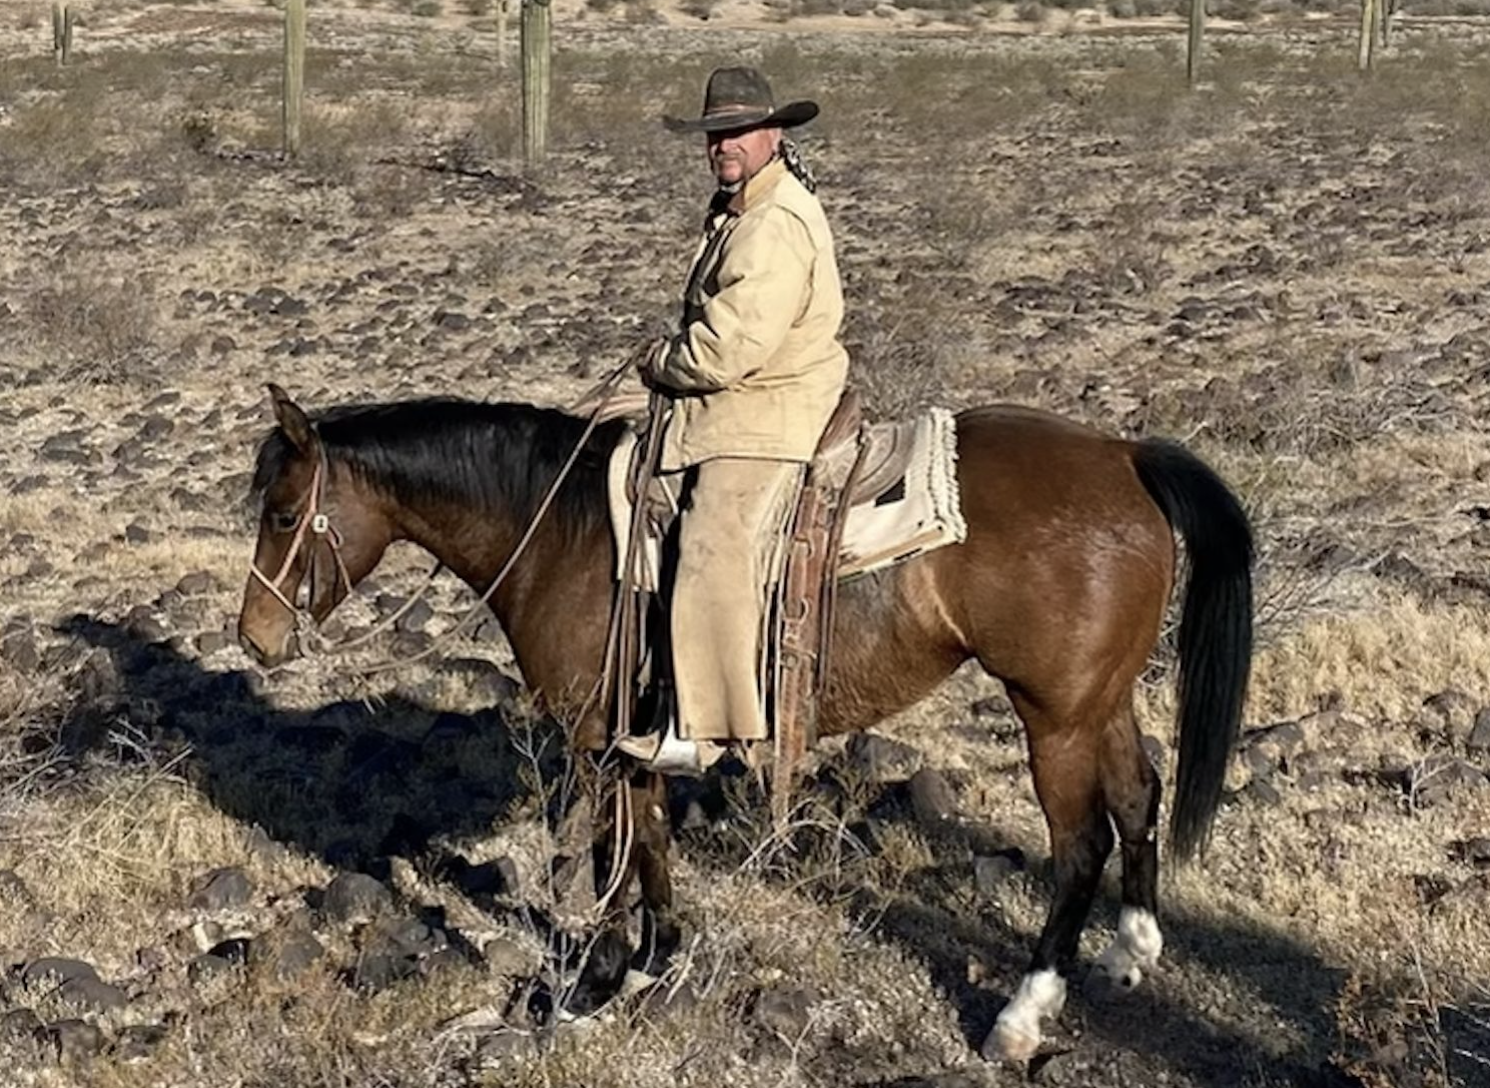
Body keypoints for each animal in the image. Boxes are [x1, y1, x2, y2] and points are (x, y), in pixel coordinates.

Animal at [235, 384, 1257, 1061]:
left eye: (284, 513)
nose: (252, 638)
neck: (560, 530)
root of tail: (1123, 456)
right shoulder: (635, 739)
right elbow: (649, 842)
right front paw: (654, 965)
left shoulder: (594, 741)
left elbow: (610, 860)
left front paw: (591, 986)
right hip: (1099, 700)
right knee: (1140, 794)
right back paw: (1132, 952)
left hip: (1054, 716)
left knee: (1080, 844)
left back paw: (1021, 1015)